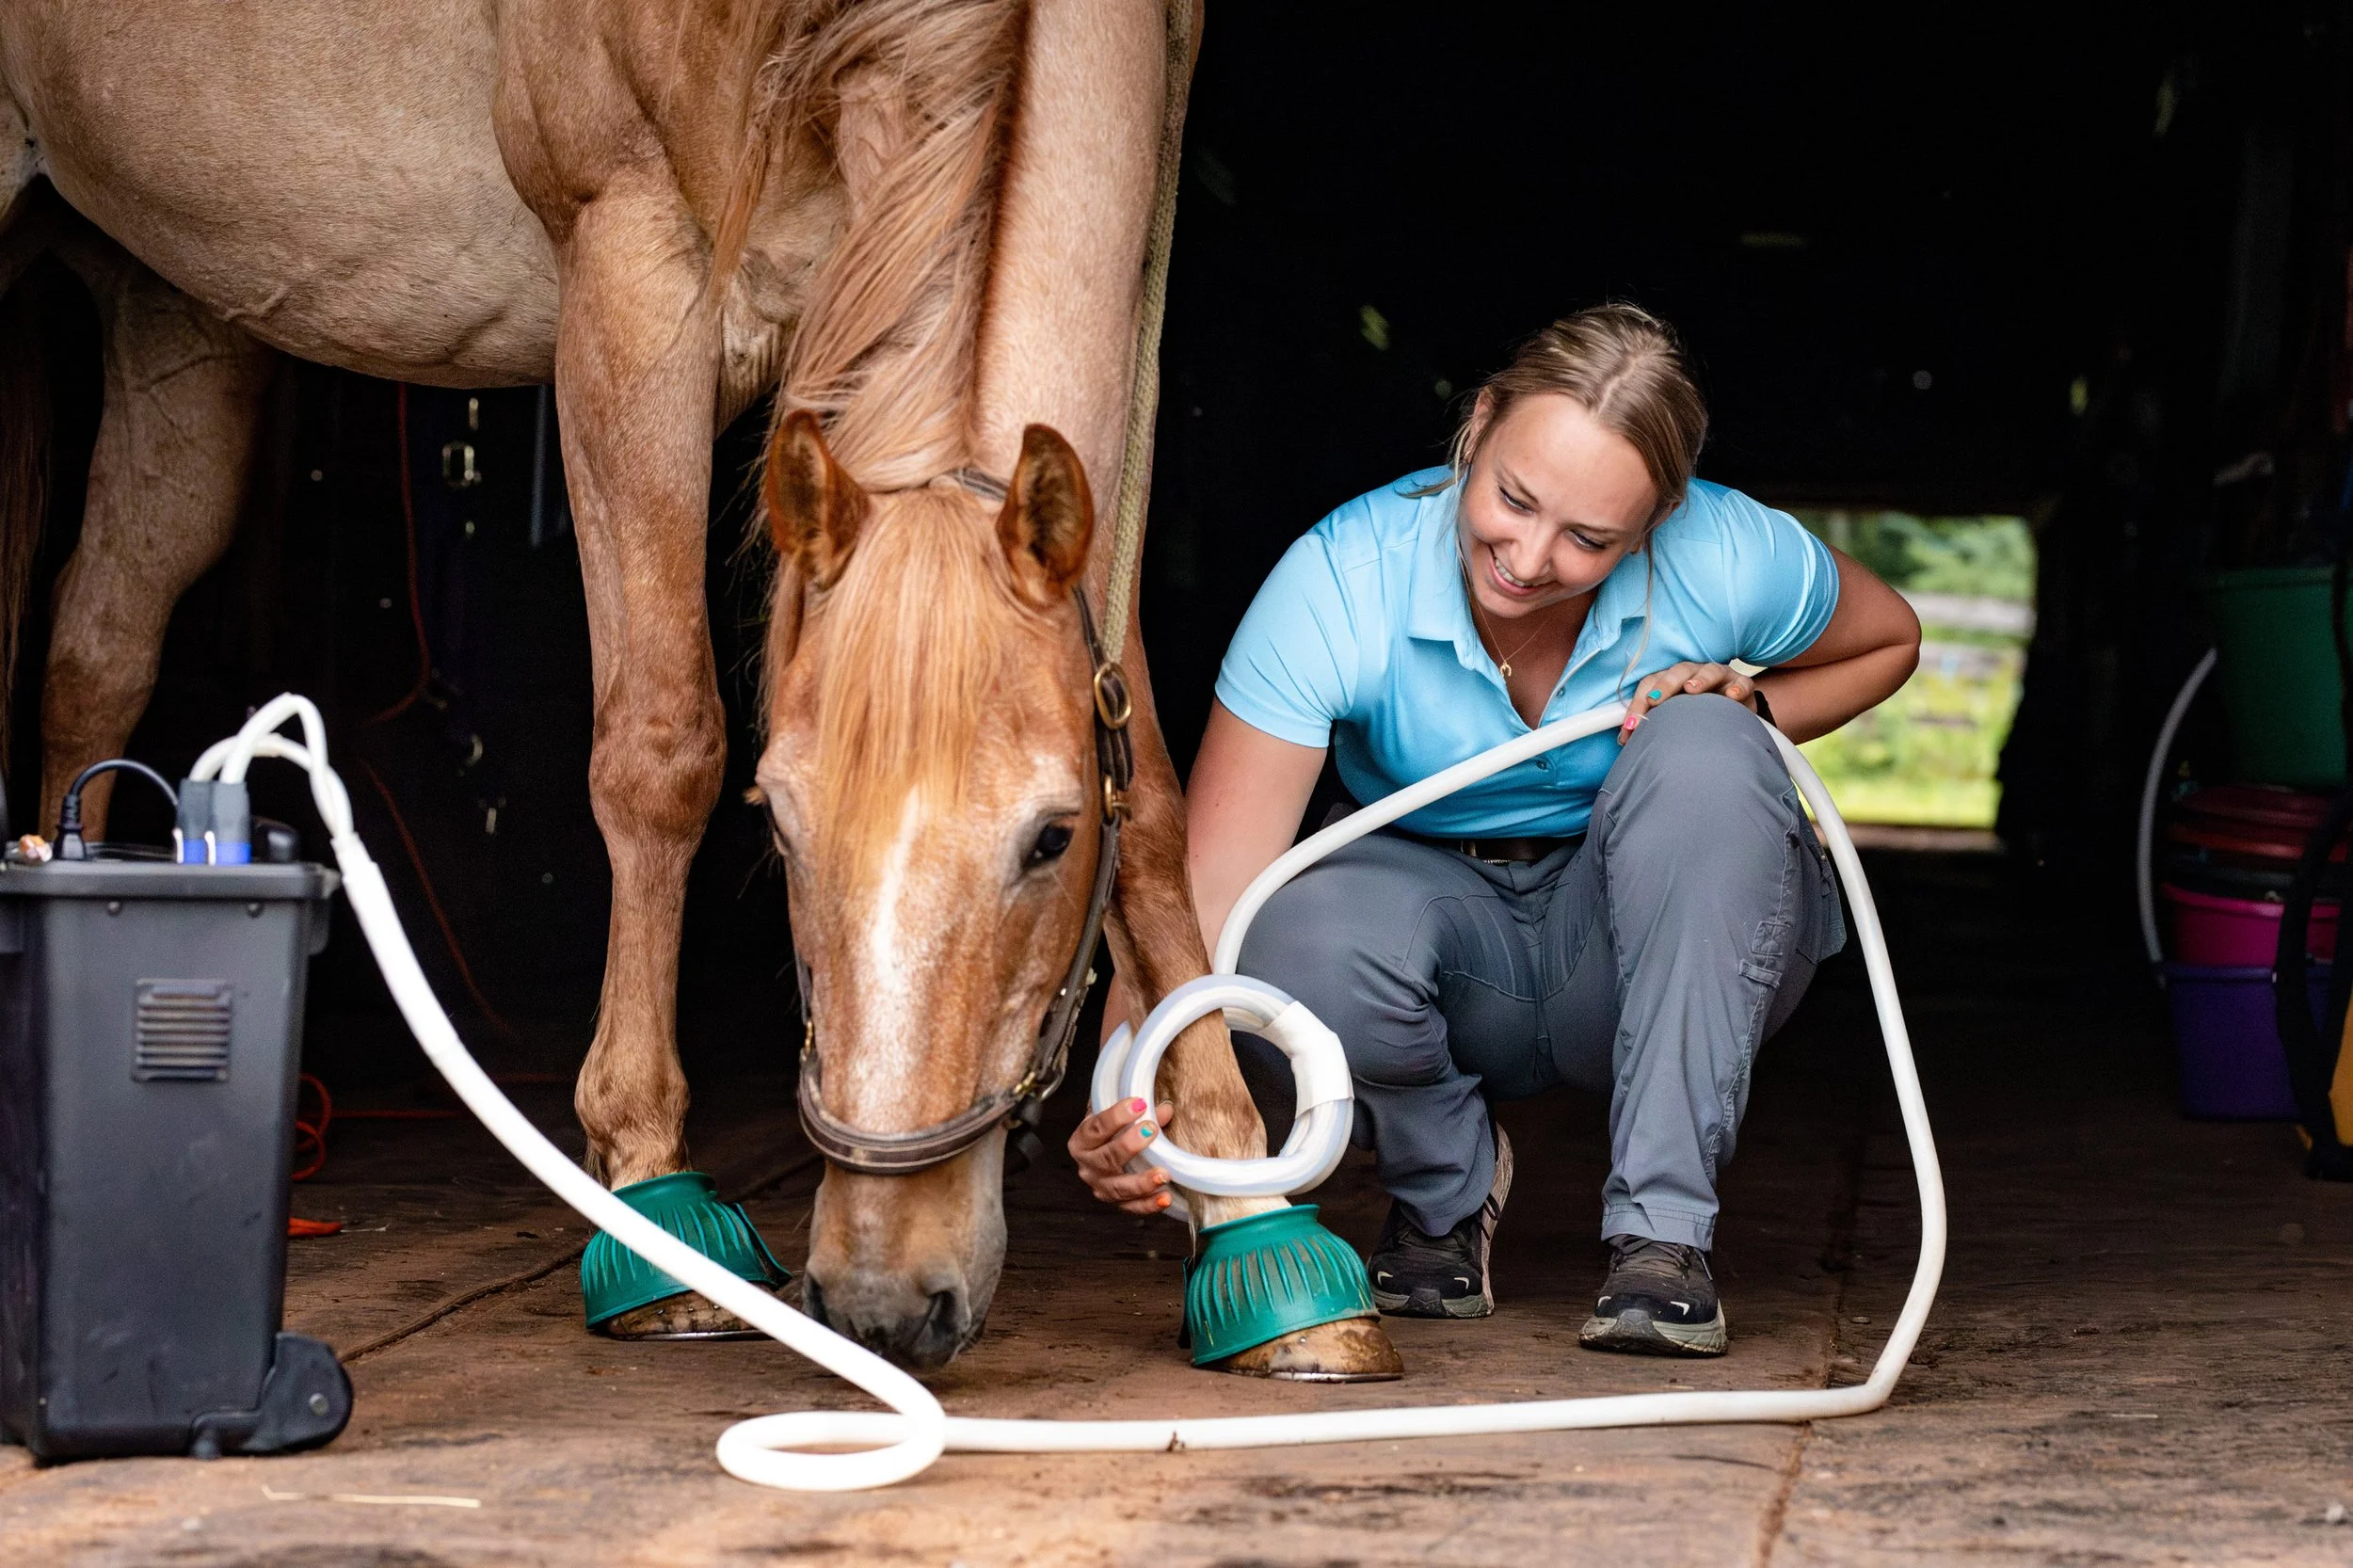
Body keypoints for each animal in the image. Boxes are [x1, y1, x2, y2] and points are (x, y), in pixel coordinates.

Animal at [0, 0, 1400, 1377]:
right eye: (778, 826)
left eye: (1053, 838)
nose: (883, 1300)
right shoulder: (633, 270)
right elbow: (661, 748)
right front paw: (653, 1202)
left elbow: (1152, 789)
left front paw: (1250, 1209)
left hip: (180, 324)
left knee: (94, 649)